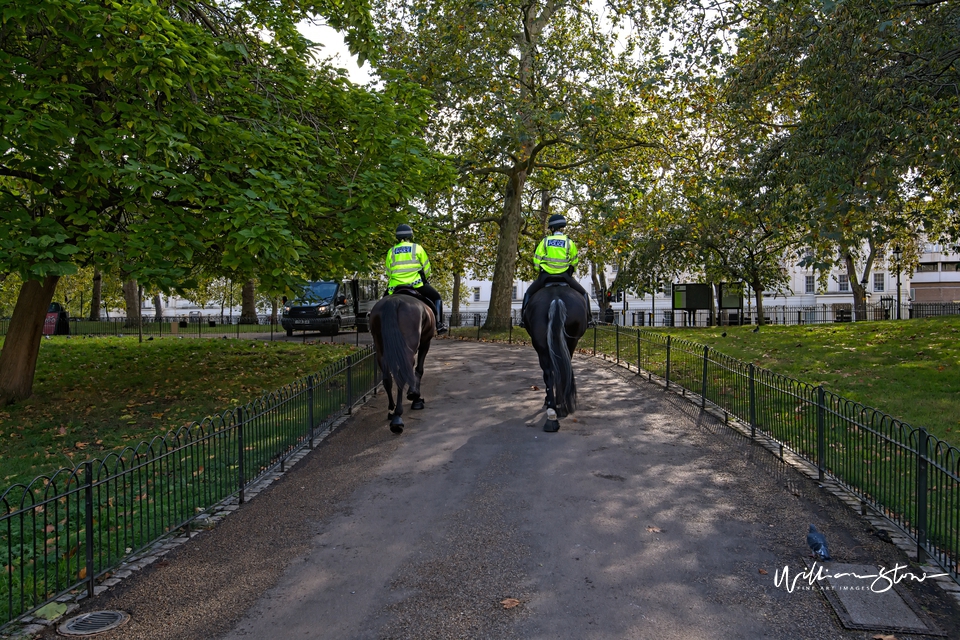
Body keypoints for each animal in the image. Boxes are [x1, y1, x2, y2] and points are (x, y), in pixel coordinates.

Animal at [368, 292, 436, 436]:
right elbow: (419, 369)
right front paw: (415, 396)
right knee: (401, 376)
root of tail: (394, 301)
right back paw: (397, 419)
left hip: (381, 349)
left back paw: (392, 409)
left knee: (387, 378)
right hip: (408, 347)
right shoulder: (425, 342)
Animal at [520, 282, 588, 432]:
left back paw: (553, 411)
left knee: (549, 374)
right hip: (569, 342)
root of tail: (556, 299)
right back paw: (556, 411)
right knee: (557, 371)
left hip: (543, 345)